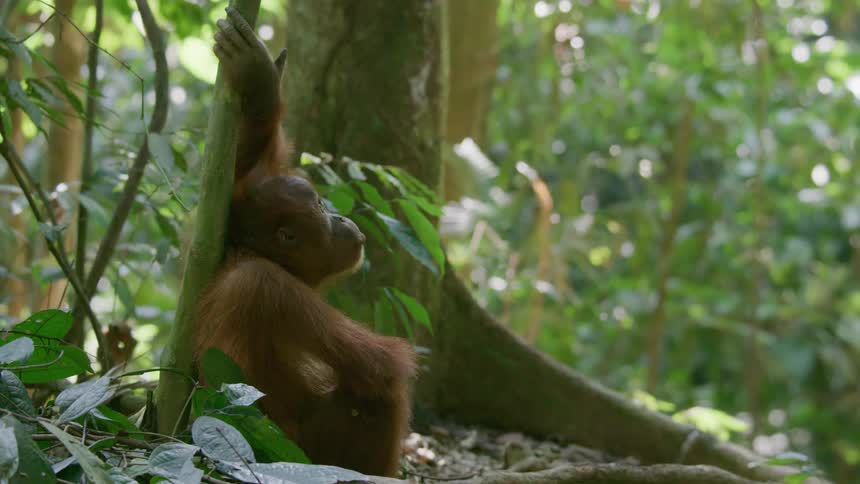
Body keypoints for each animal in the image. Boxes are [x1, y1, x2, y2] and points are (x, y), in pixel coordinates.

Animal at [193, 7, 417, 477]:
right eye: (317, 204)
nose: (339, 216)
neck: (258, 256)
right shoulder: (274, 287)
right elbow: (386, 364)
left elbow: (230, 179)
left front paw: (260, 82)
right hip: (303, 458)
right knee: (377, 390)